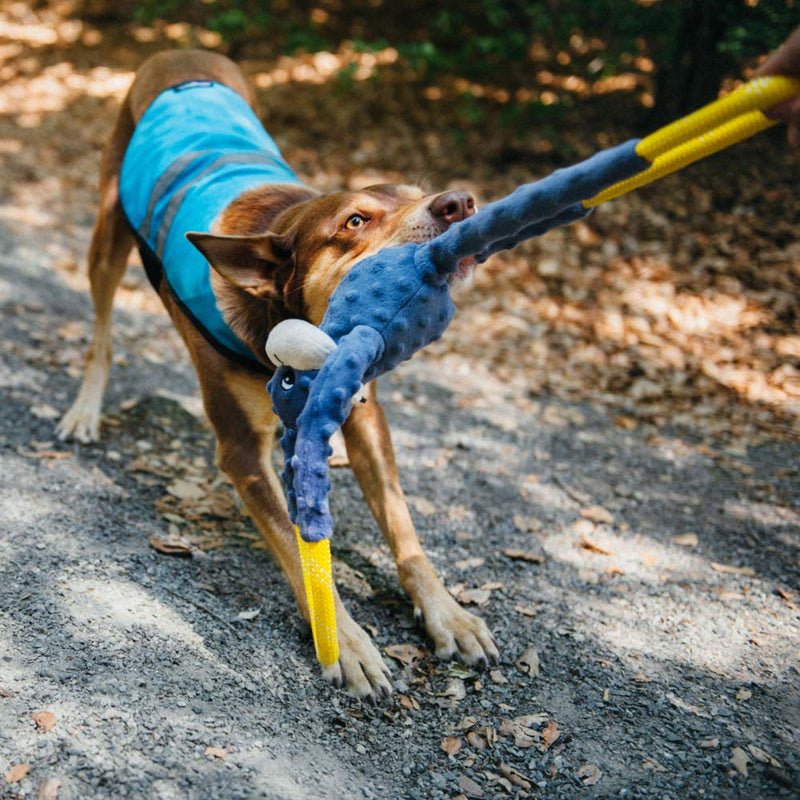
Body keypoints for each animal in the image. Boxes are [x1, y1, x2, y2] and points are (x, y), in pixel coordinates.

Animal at [59, 51, 496, 700]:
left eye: (421, 194)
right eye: (355, 221)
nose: (459, 203)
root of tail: (182, 53)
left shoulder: (367, 416)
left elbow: (404, 529)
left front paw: (448, 614)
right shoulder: (242, 452)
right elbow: (298, 548)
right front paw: (347, 642)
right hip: (108, 232)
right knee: (103, 330)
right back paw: (84, 410)